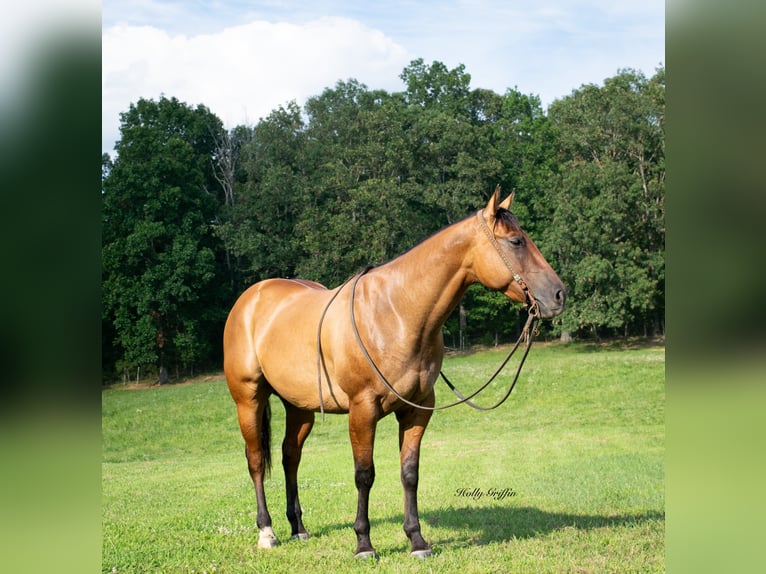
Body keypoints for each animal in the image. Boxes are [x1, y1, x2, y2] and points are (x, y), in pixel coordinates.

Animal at [223, 186, 566, 558]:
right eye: (517, 241)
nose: (559, 295)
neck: (395, 312)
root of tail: (251, 298)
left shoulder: (417, 410)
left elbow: (409, 473)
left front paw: (417, 540)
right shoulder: (363, 410)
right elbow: (364, 474)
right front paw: (363, 543)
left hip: (299, 407)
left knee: (290, 457)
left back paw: (298, 527)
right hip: (249, 399)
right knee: (256, 460)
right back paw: (267, 531)